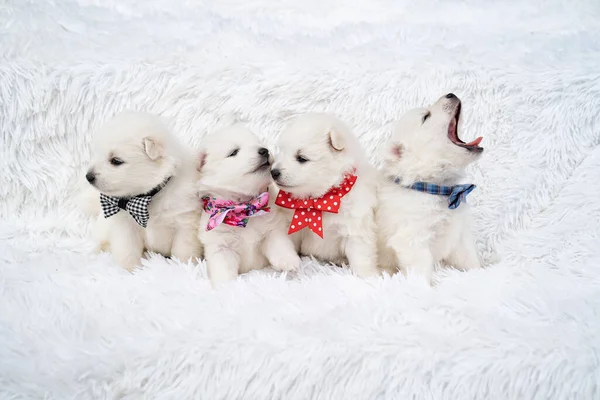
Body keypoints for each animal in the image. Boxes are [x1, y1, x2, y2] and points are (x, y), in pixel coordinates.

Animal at [79, 111, 203, 270]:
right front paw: (131, 270)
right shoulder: (126, 227)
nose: (88, 177)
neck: (149, 196)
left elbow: (183, 250)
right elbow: (127, 250)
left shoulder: (185, 223)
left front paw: (184, 267)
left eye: (116, 161)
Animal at [197, 126, 300, 286]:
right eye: (234, 152)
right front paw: (226, 286)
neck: (245, 208)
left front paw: (289, 261)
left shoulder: (272, 228)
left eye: (259, 143)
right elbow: (223, 268)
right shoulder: (220, 246)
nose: (264, 150)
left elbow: (280, 244)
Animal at [272, 112, 380, 278]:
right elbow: (282, 242)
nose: (273, 172)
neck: (319, 200)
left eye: (301, 158)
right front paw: (286, 262)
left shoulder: (354, 228)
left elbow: (361, 256)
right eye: (281, 152)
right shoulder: (290, 224)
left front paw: (369, 276)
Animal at [378, 92, 486, 282]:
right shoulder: (412, 239)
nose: (451, 93)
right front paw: (423, 288)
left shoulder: (459, 236)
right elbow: (421, 271)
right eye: (426, 117)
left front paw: (480, 274)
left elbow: (469, 258)